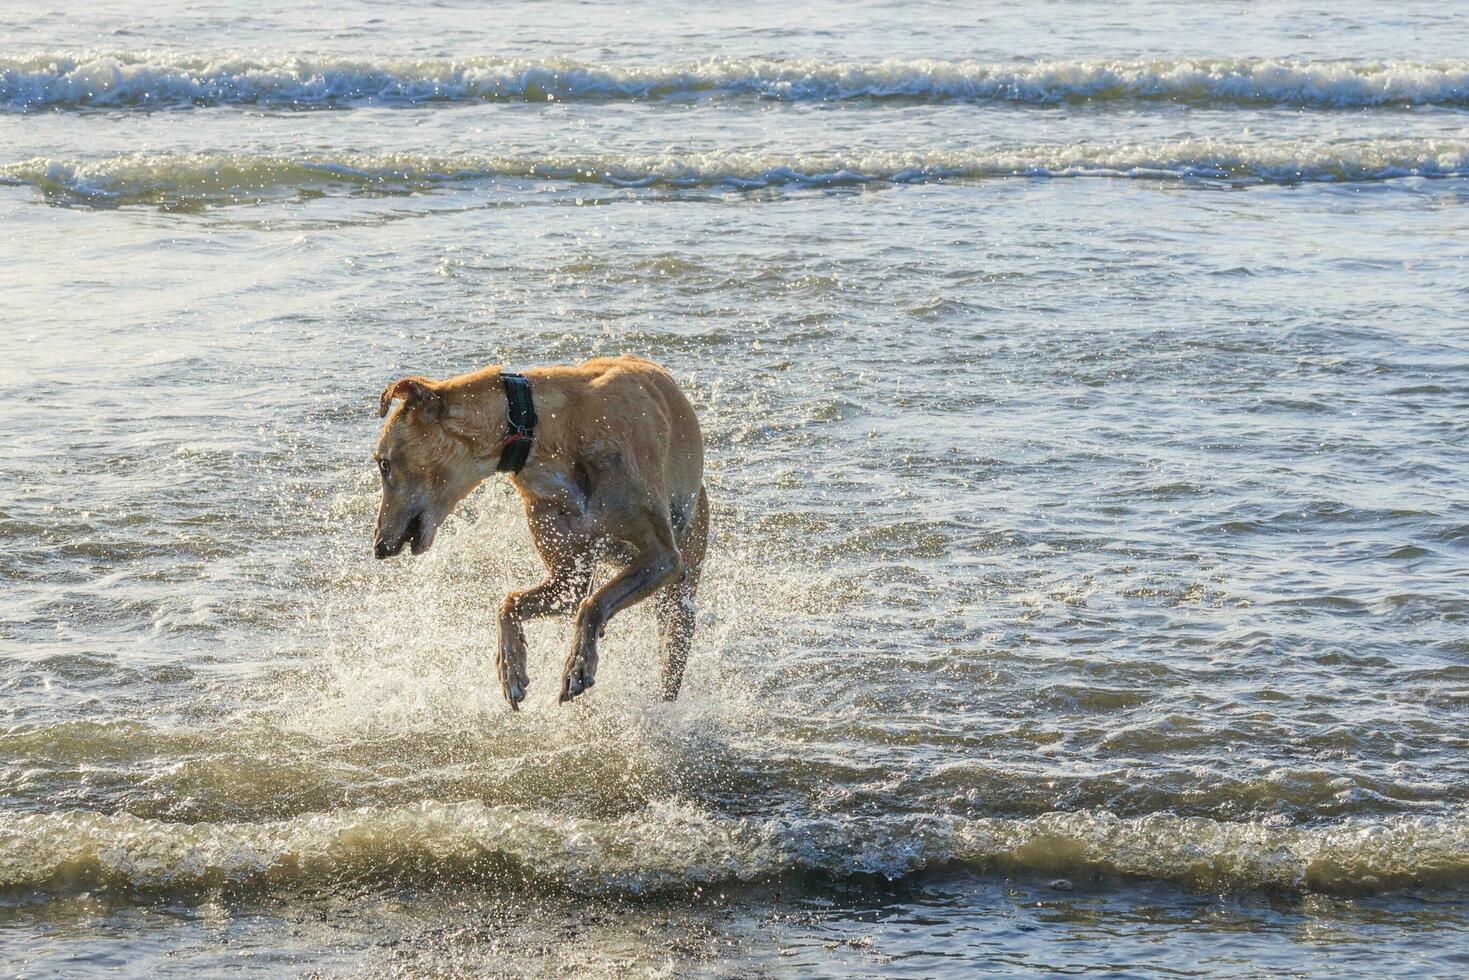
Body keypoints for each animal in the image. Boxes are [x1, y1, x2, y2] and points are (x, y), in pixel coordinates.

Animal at [373, 357, 705, 708]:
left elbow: (593, 605)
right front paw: (511, 668)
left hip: (681, 588)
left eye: (384, 464)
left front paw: (577, 667)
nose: (378, 547)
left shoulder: (663, 557)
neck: (548, 430)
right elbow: (512, 603)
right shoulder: (569, 580)